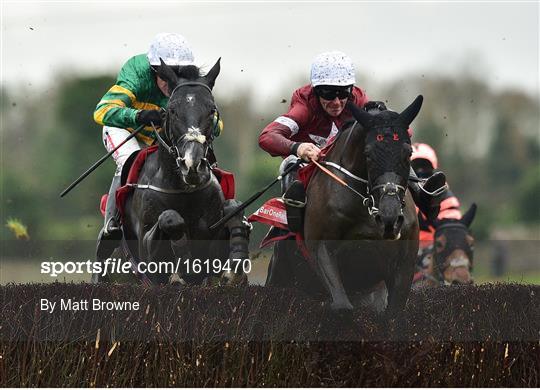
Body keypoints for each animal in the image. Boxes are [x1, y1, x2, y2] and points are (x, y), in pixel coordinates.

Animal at [97, 58, 249, 284]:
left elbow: (233, 208)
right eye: (173, 110)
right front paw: (183, 264)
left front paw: (236, 264)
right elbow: (169, 218)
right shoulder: (148, 256)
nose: (192, 164)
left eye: (212, 110)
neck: (183, 191)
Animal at [268, 96, 424, 316]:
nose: (390, 218)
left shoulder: (404, 262)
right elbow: (342, 306)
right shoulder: (322, 250)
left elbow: (393, 313)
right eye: (367, 154)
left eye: (408, 152)